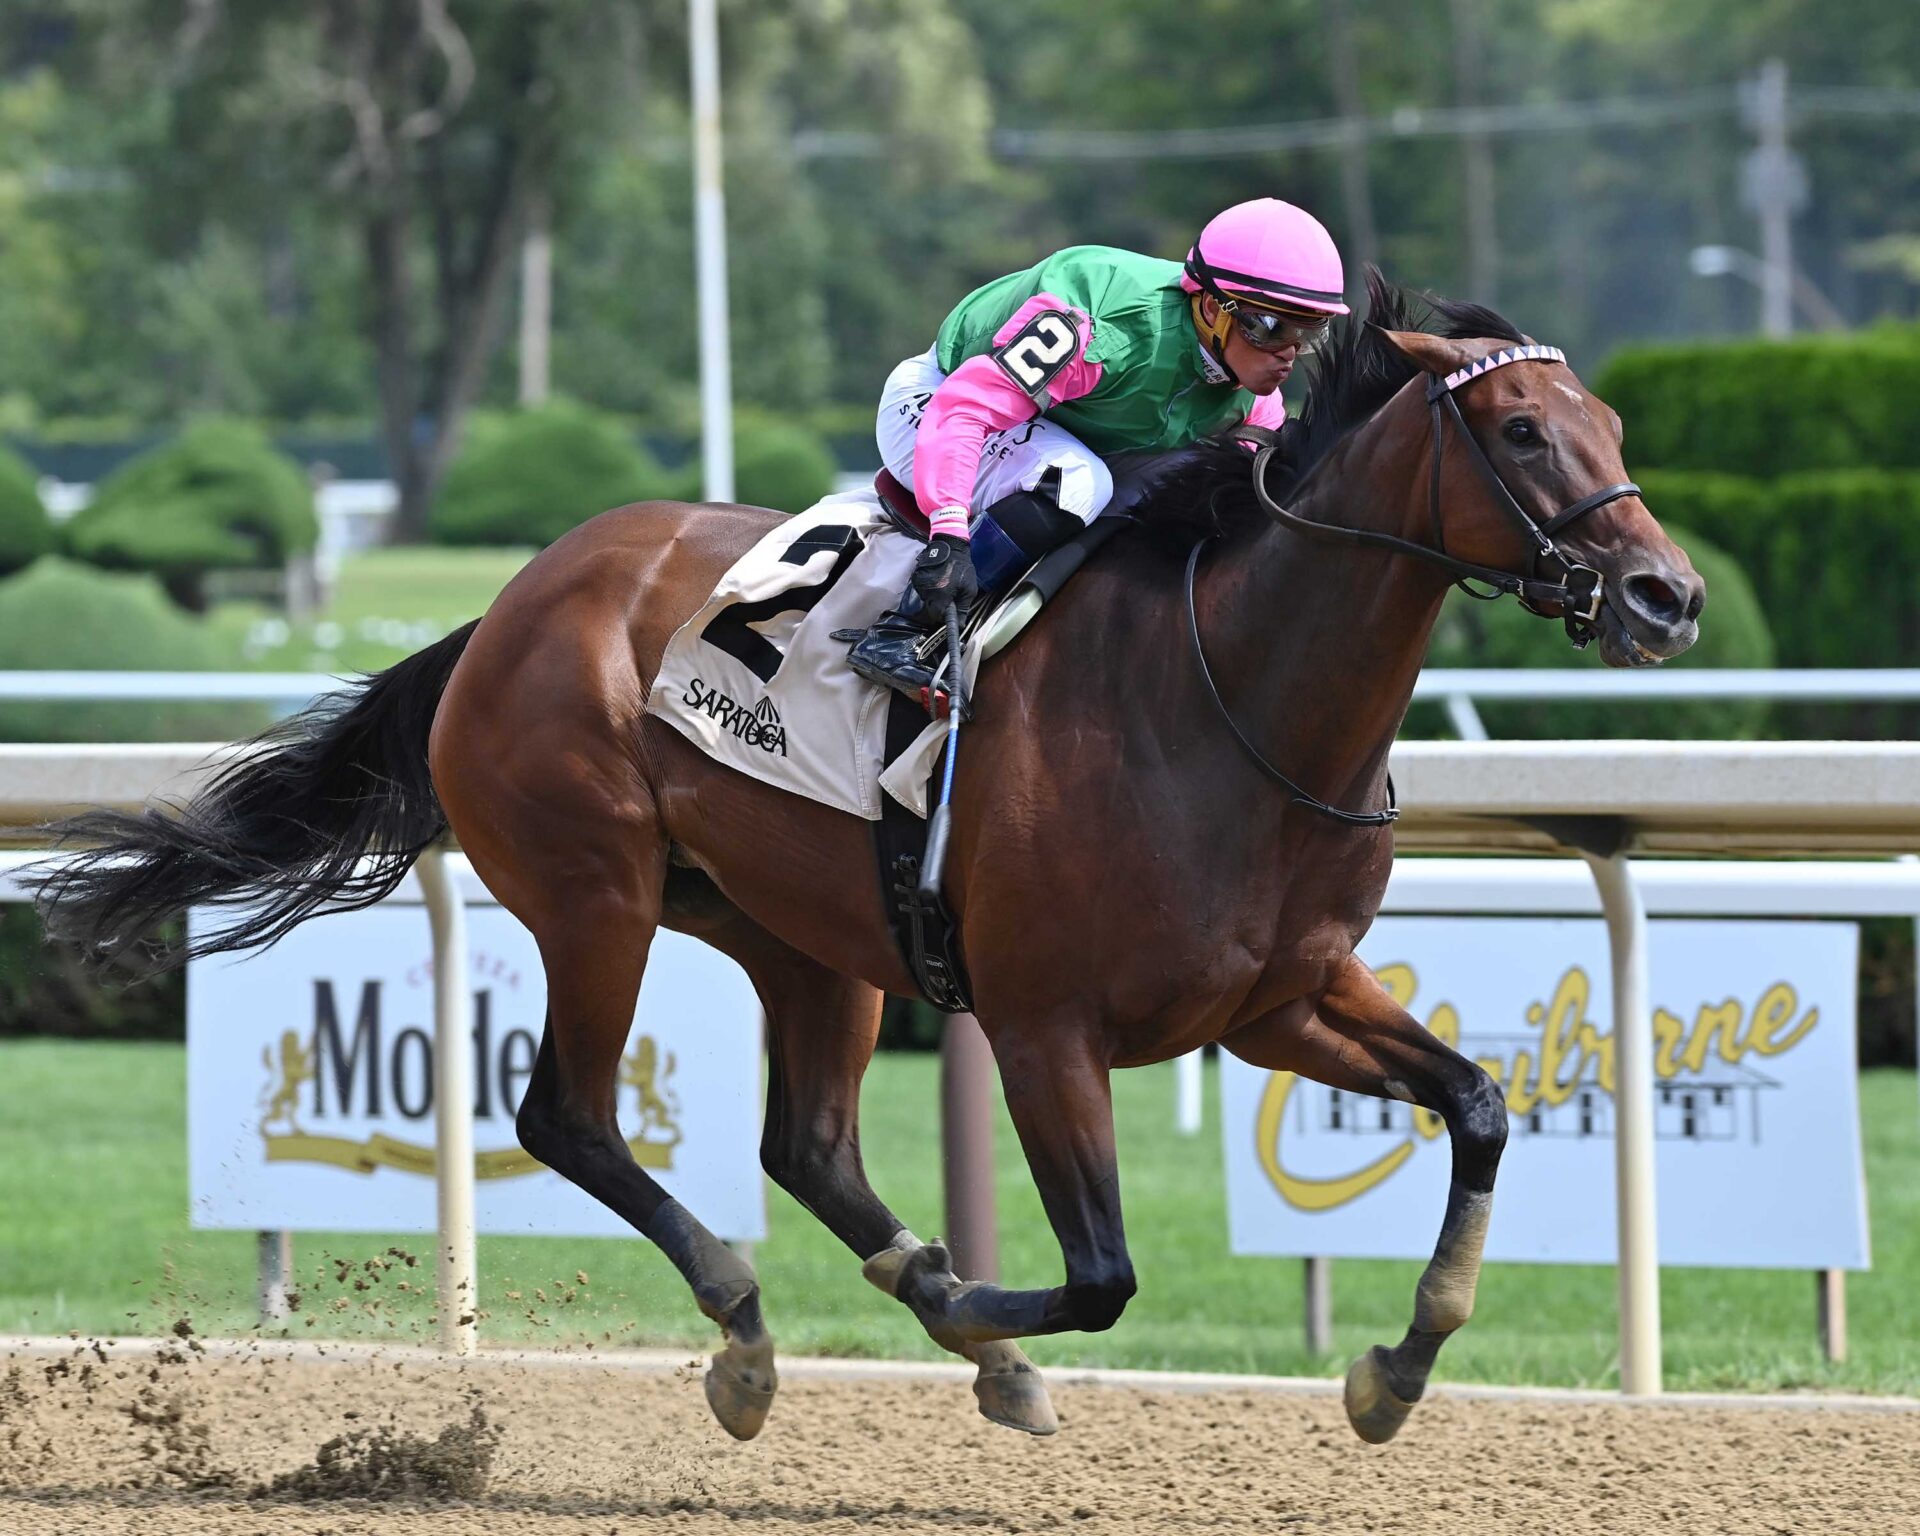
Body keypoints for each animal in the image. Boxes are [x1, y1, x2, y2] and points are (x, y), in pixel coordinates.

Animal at [32, 273, 1703, 1447]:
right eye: (1521, 431)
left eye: (1620, 431)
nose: (1668, 596)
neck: (1223, 702)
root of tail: (512, 601)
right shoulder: (1045, 1025)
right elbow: (1104, 1270)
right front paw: (971, 1292)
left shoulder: (1279, 1000)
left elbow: (1478, 1104)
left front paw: (1394, 1367)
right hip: (595, 887)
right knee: (570, 1116)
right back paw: (763, 1334)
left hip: (801, 933)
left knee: (809, 1147)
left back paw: (958, 1343)